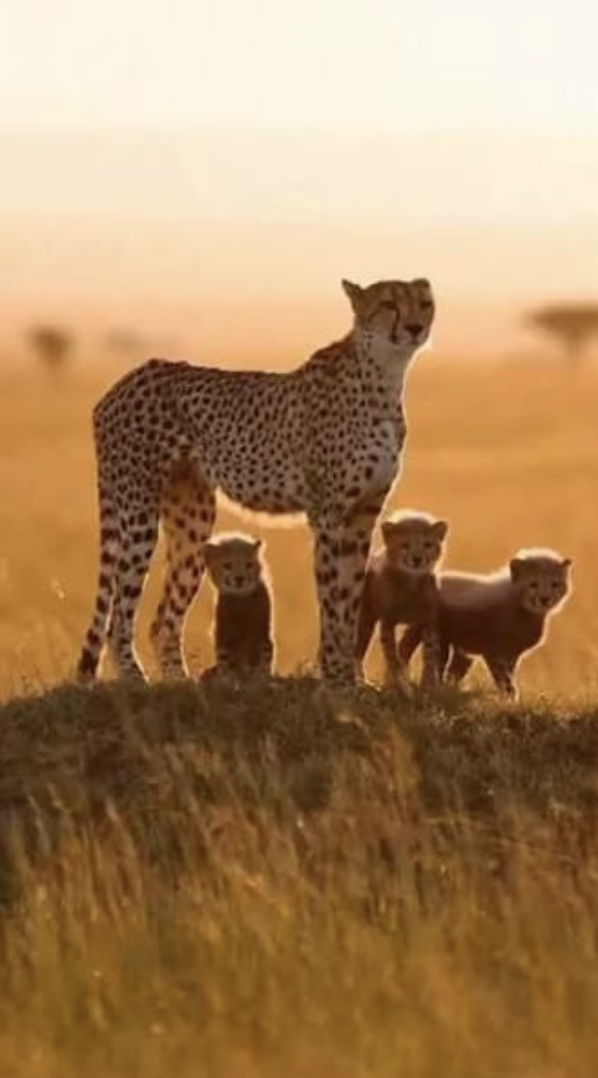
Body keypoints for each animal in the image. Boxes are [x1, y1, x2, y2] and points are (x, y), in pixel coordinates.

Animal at [200, 532, 274, 677]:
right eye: (227, 565)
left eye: (249, 564)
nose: (239, 579)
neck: (240, 599)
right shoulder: (224, 637)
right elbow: (226, 662)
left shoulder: (262, 635)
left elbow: (262, 660)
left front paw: (260, 674)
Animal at [355, 509, 448, 689]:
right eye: (405, 545)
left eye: (428, 544)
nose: (417, 559)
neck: (411, 582)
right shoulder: (388, 621)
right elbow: (391, 655)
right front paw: (398, 682)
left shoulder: (428, 621)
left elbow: (429, 652)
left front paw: (428, 684)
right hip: (366, 618)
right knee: (358, 650)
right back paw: (361, 679)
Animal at [398, 548, 572, 700]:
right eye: (533, 584)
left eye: (555, 584)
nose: (544, 599)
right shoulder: (493, 652)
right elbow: (504, 681)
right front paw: (510, 700)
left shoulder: (512, 654)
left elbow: (509, 675)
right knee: (409, 650)